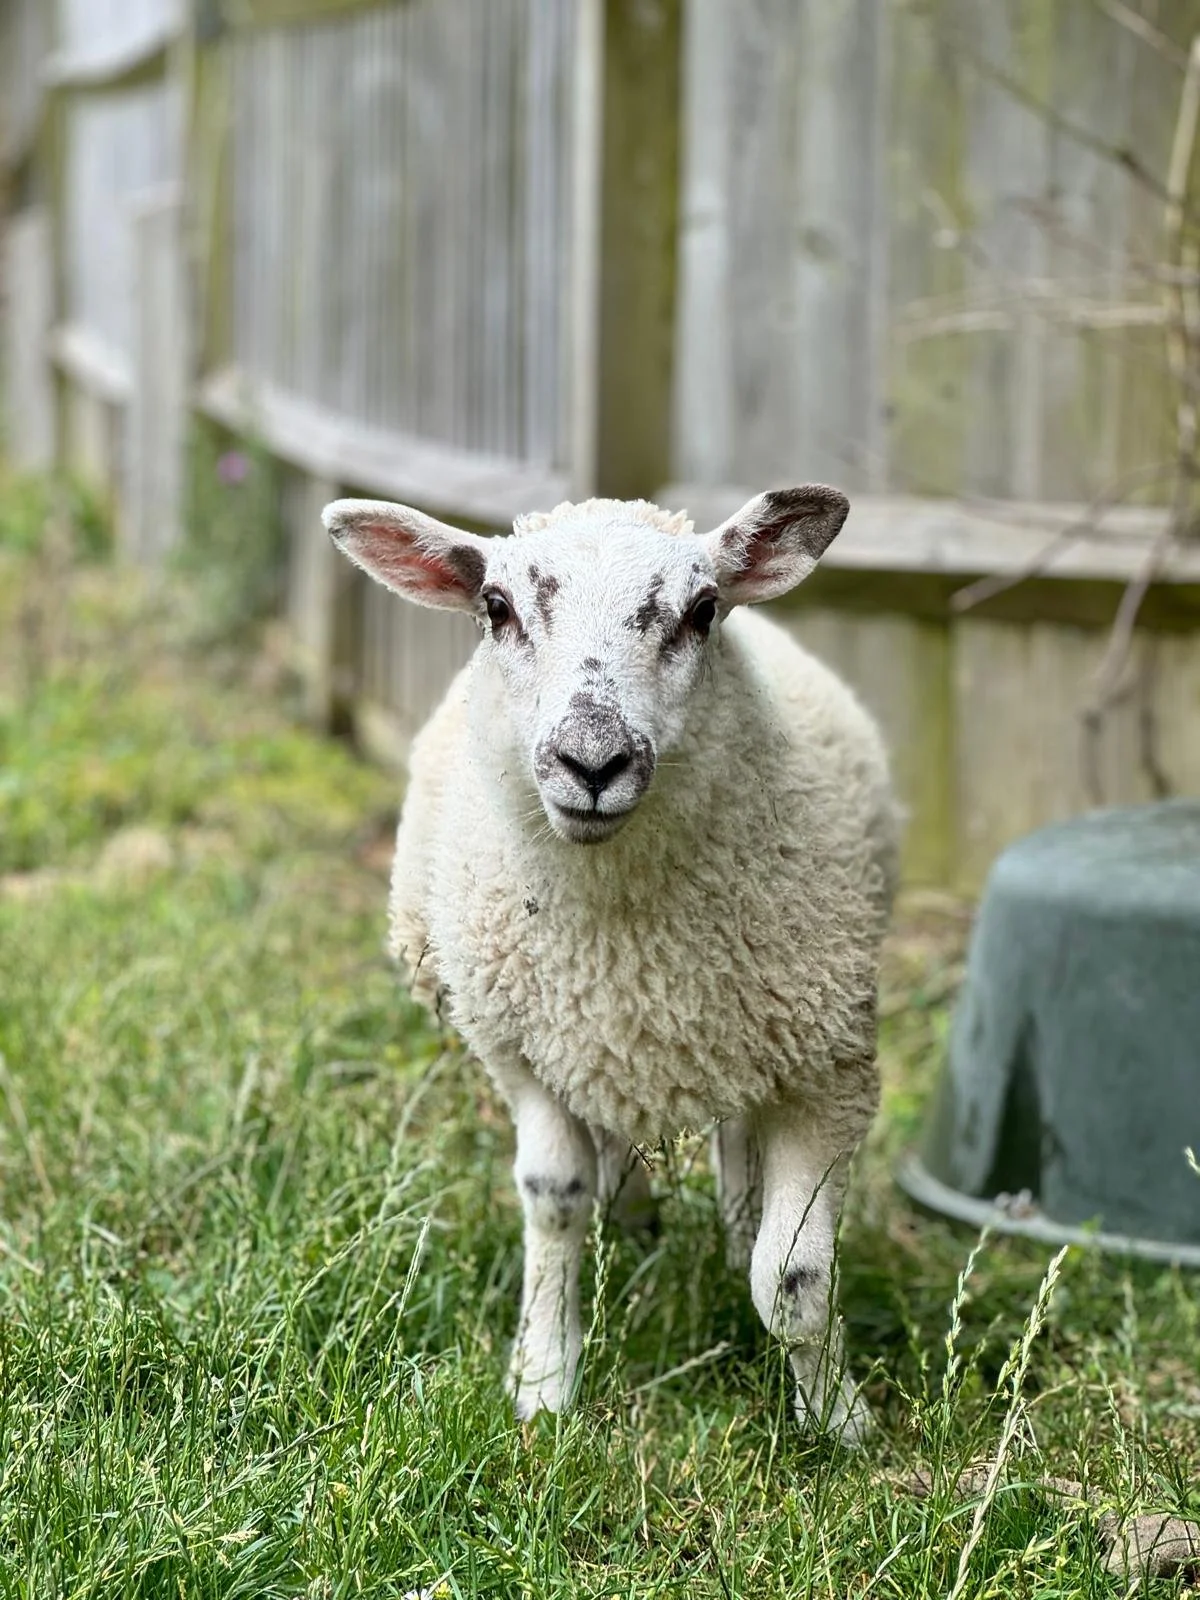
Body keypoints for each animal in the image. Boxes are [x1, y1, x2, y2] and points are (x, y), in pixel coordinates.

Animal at [323, 487, 899, 1442]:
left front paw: (838, 1424)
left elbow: (792, 1279)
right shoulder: (524, 1051)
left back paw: (727, 1231)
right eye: (497, 607)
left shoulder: (829, 1065)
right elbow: (554, 1197)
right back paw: (632, 1224)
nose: (592, 762)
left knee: (736, 1147)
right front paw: (543, 1382)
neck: (629, 948)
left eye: (703, 611)